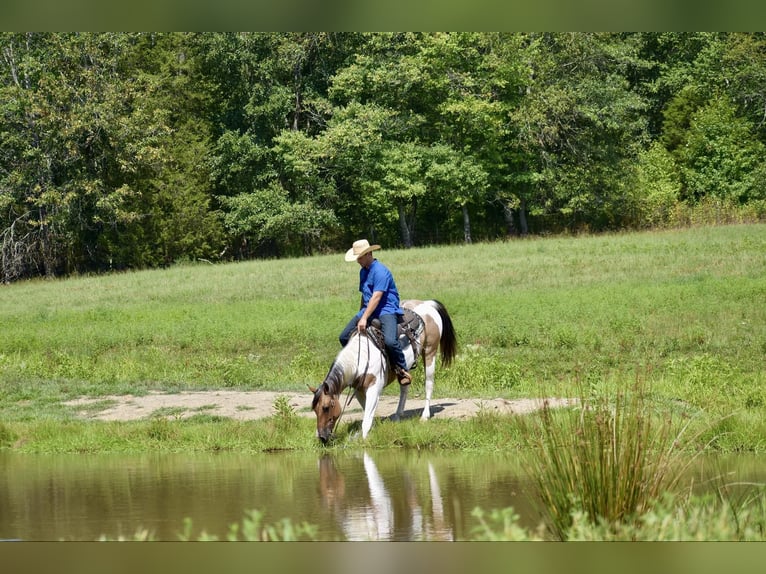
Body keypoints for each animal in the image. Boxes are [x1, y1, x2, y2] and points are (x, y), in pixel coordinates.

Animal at [310, 302, 456, 446]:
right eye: (315, 410)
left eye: (325, 407)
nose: (322, 437)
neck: (360, 359)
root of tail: (428, 304)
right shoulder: (359, 390)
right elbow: (367, 412)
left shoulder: (374, 388)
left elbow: (367, 419)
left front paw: (365, 441)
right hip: (406, 368)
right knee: (404, 387)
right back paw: (398, 415)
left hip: (430, 353)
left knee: (429, 384)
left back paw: (425, 416)